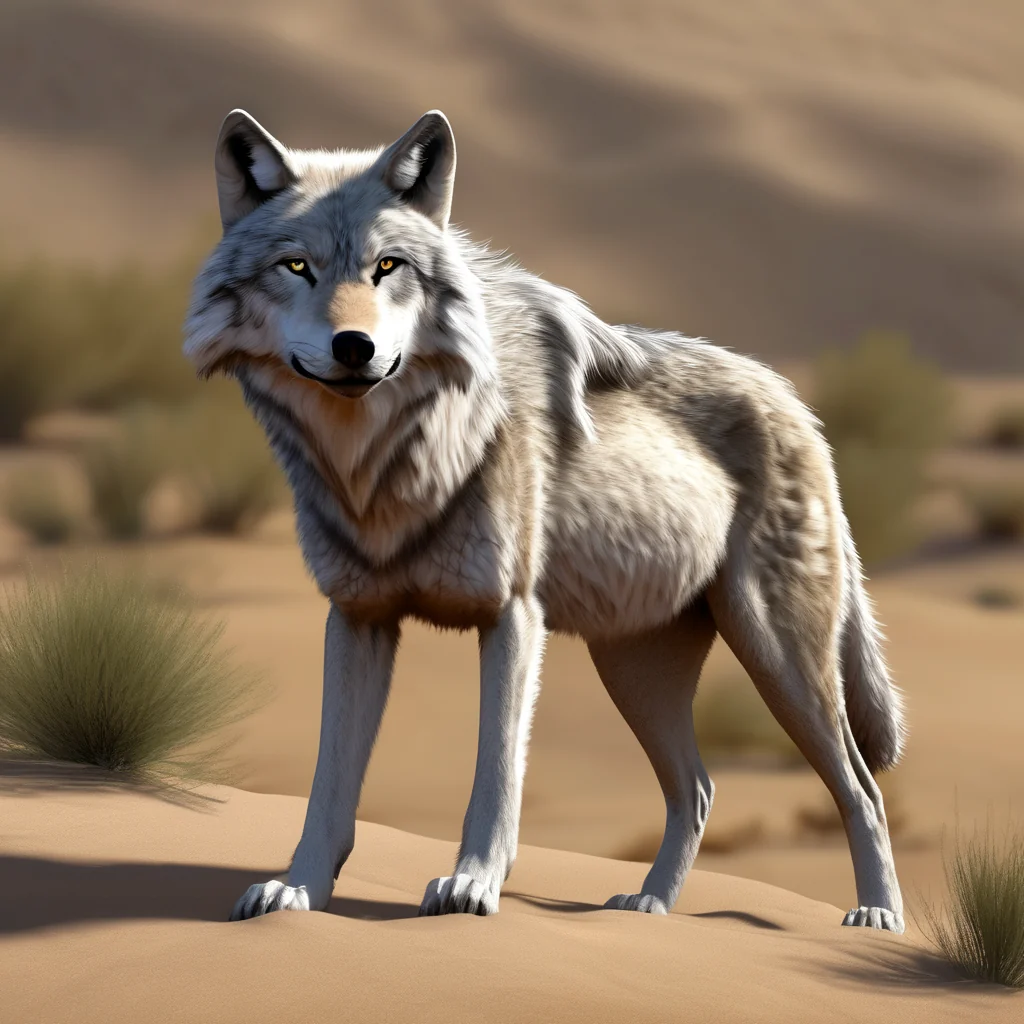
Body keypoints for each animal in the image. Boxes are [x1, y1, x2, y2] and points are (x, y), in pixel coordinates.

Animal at [184, 108, 906, 932]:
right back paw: (648, 905)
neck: (384, 463)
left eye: (388, 267)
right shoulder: (357, 617)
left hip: (779, 659)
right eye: (297, 267)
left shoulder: (513, 615)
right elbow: (329, 785)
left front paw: (471, 887)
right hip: (634, 671)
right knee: (697, 788)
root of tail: (800, 408)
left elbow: (495, 775)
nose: (355, 347)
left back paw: (878, 917)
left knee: (861, 786)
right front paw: (297, 890)